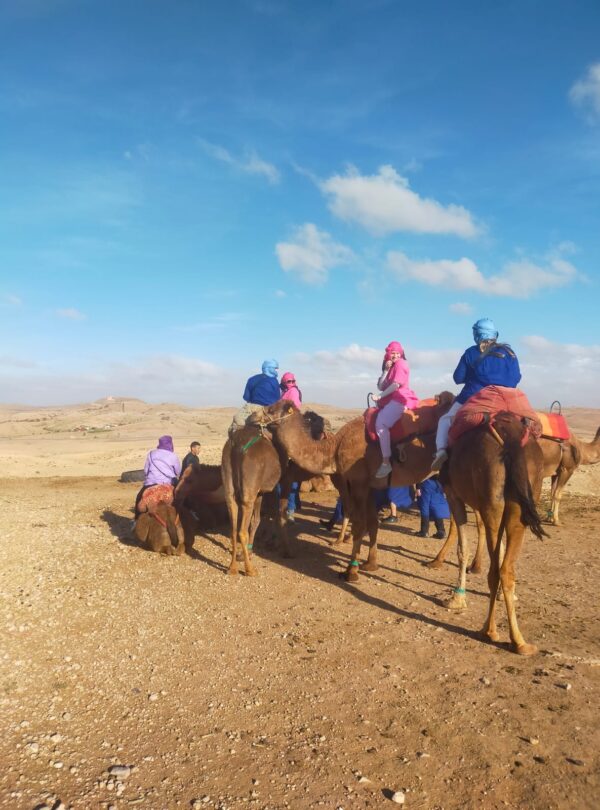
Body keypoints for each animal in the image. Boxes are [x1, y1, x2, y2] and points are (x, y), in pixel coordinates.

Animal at [251, 393, 456, 583]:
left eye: (272, 408)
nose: (252, 416)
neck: (334, 448)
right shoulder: (370, 485)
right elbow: (372, 523)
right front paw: (371, 564)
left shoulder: (357, 482)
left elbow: (359, 524)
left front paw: (351, 571)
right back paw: (440, 561)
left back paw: (442, 565)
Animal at [442, 412, 546, 655]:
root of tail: (511, 439)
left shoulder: (453, 494)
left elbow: (462, 548)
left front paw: (457, 598)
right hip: (519, 503)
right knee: (506, 569)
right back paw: (519, 641)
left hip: (491, 498)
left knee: (495, 572)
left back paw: (489, 630)